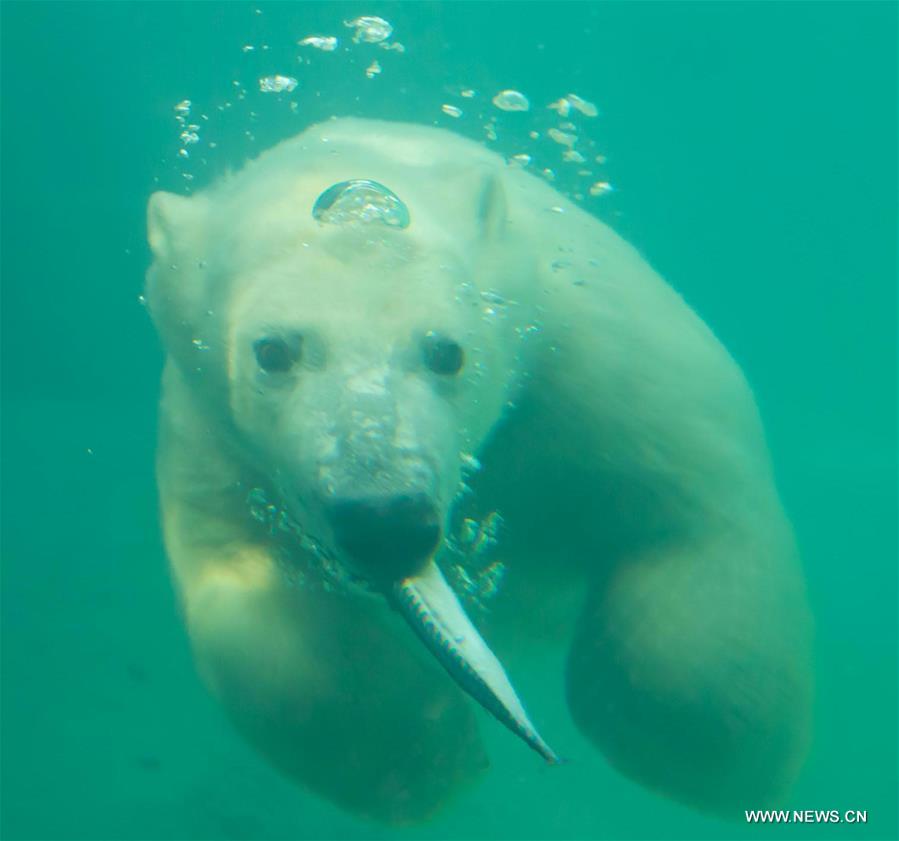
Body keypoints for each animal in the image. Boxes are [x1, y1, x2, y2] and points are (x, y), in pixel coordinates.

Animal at [145, 117, 813, 824]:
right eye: (271, 350)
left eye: (446, 351)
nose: (386, 520)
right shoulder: (213, 439)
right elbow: (251, 603)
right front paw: (429, 756)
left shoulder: (593, 357)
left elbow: (692, 523)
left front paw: (683, 747)